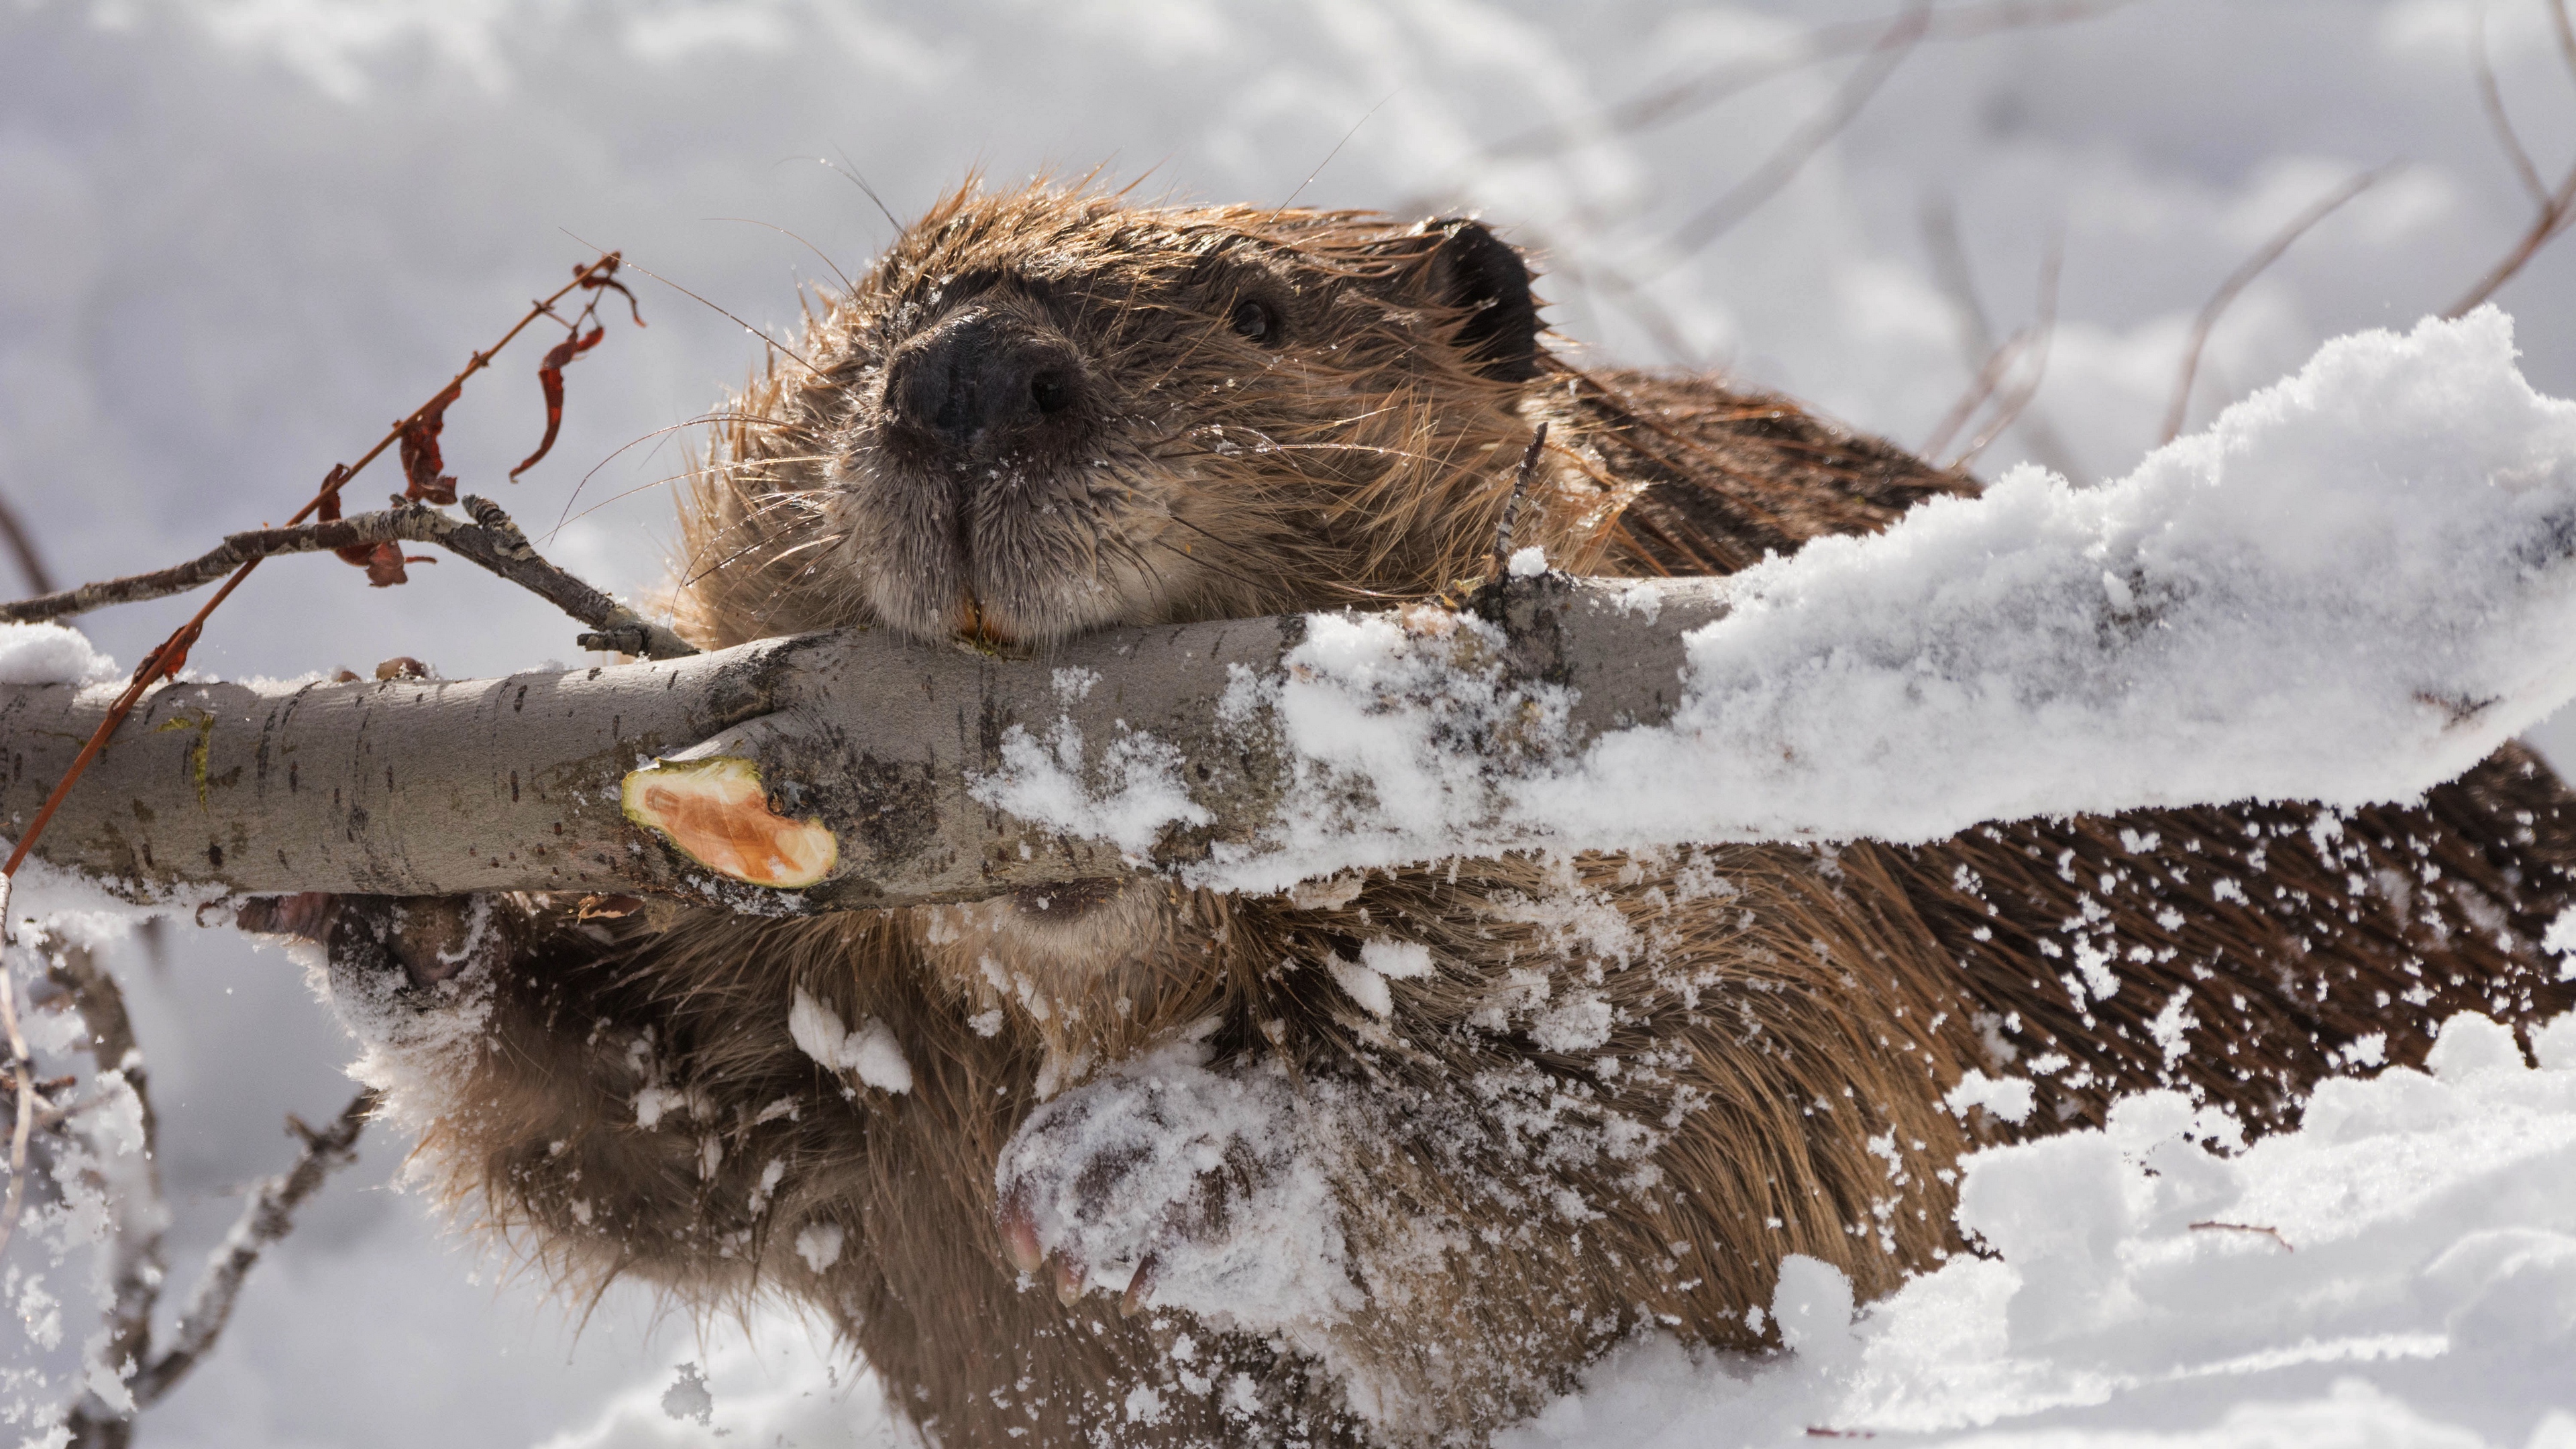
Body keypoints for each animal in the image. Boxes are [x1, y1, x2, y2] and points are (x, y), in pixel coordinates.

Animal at [251, 182, 2576, 1444]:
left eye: (1259, 311)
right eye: (867, 326)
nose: (972, 382)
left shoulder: (1770, 883)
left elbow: (1740, 1137)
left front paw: (1152, 1163)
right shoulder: (839, 1074)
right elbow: (643, 1132)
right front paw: (380, 857)